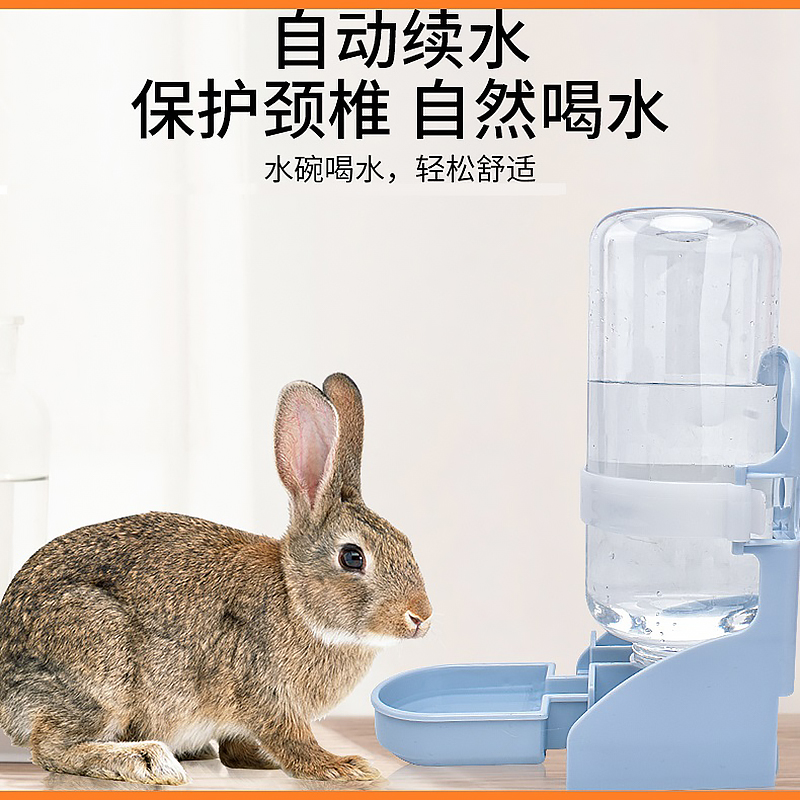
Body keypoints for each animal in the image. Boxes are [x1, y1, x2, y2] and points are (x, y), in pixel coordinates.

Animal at [0, 372, 432, 786]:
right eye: (352, 557)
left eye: (405, 542)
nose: (421, 617)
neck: (296, 600)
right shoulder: (264, 693)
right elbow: (291, 741)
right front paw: (343, 767)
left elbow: (238, 747)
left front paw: (261, 762)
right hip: (100, 660)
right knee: (52, 748)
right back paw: (147, 761)